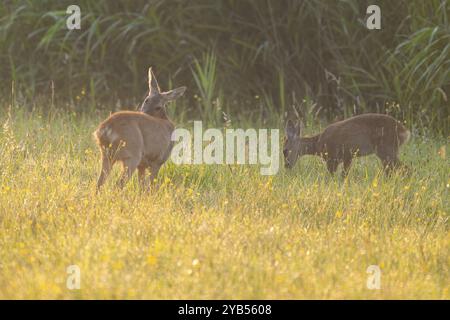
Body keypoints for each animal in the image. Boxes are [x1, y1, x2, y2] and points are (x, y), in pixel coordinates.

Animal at [284, 114, 412, 176]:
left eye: (284, 151)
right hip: (387, 151)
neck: (318, 144)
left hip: (386, 149)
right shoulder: (348, 157)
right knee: (392, 170)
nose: (286, 166)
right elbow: (344, 175)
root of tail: (405, 132)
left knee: (405, 168)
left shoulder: (332, 158)